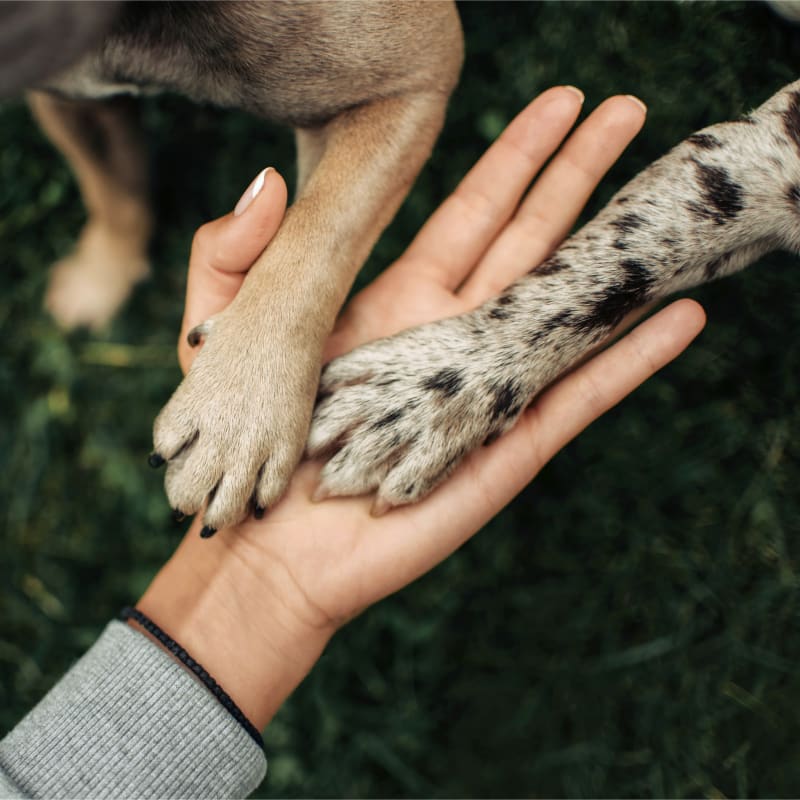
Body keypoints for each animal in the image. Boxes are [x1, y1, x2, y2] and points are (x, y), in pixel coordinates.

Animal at [29, 3, 462, 536]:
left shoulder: (412, 76)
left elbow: (321, 230)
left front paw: (240, 407)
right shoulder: (67, 98)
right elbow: (111, 189)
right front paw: (101, 278)